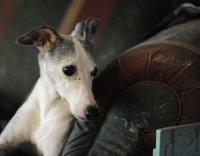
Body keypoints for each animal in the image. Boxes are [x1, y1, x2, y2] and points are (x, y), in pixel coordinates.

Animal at [0, 17, 100, 155]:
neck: (47, 107)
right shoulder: (5, 140)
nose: (93, 113)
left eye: (95, 71)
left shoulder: (53, 150)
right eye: (68, 69)